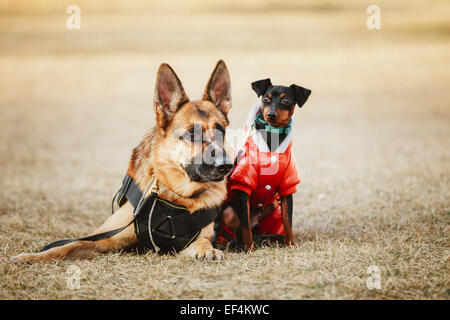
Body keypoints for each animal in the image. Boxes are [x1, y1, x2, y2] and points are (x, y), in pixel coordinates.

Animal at [9, 60, 236, 262]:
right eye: (191, 134)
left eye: (221, 131)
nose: (226, 165)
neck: (174, 195)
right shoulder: (107, 238)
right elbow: (68, 245)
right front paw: (30, 257)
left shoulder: (193, 239)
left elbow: (203, 241)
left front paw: (209, 250)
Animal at [217, 77, 310, 250]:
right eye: (266, 99)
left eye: (286, 100)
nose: (271, 114)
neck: (272, 135)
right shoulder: (243, 185)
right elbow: (245, 226)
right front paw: (249, 248)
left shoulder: (287, 188)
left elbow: (288, 222)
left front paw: (291, 244)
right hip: (228, 212)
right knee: (242, 229)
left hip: (272, 204)